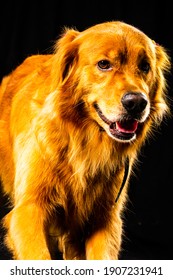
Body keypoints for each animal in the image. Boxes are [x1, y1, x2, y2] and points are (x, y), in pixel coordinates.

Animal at [0, 20, 170, 260]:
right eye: (104, 64)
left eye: (145, 66)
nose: (137, 103)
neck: (83, 143)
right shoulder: (28, 209)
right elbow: (39, 255)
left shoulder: (105, 218)